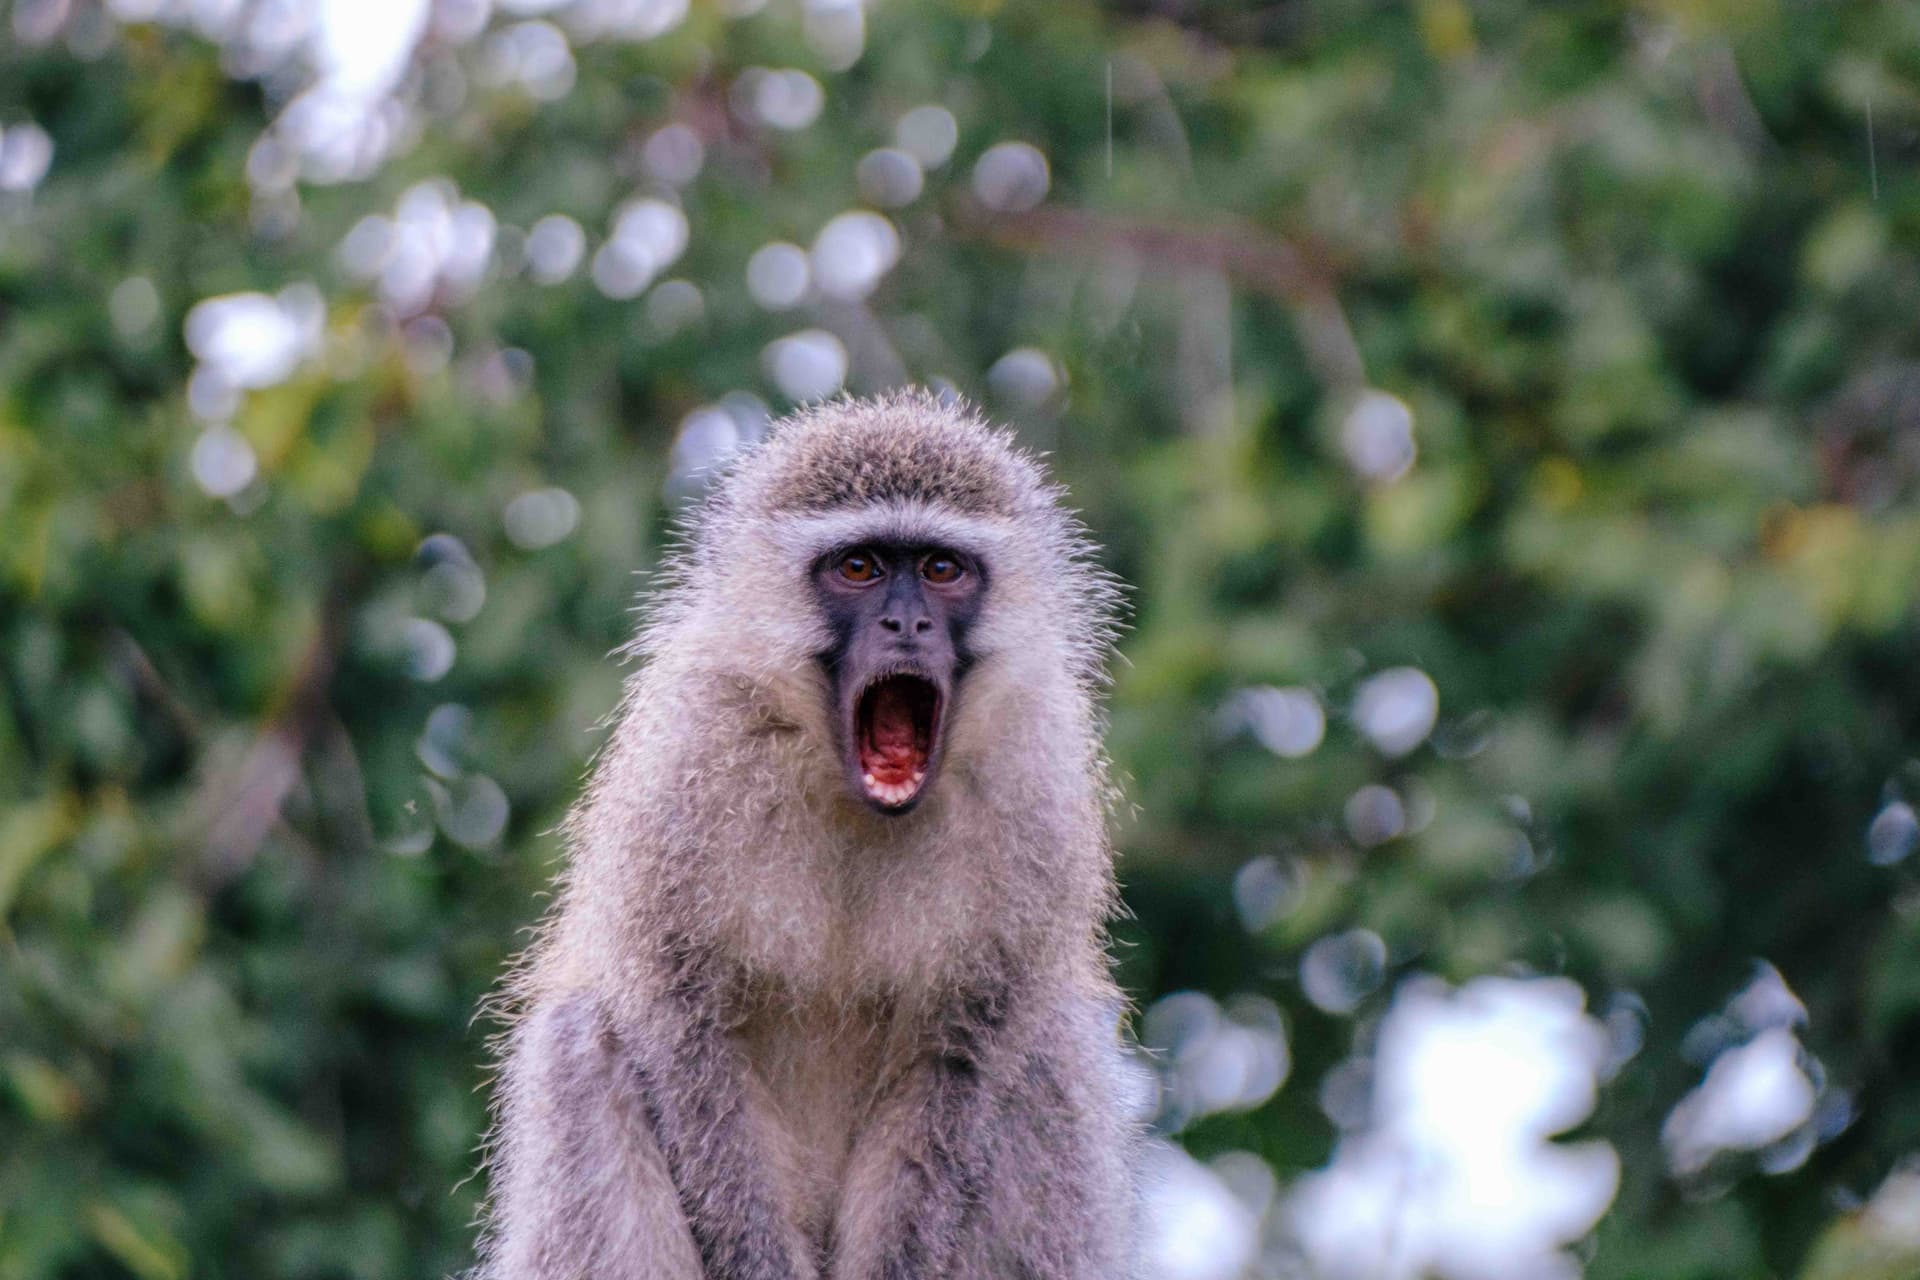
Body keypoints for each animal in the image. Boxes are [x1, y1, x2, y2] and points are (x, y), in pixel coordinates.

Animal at [475, 390, 1140, 1280]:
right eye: (859, 568)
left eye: (941, 570)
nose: (905, 625)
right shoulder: (691, 755)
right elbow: (681, 1033)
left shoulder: (1037, 781)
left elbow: (963, 1055)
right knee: (584, 1045)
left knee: (1045, 1058)